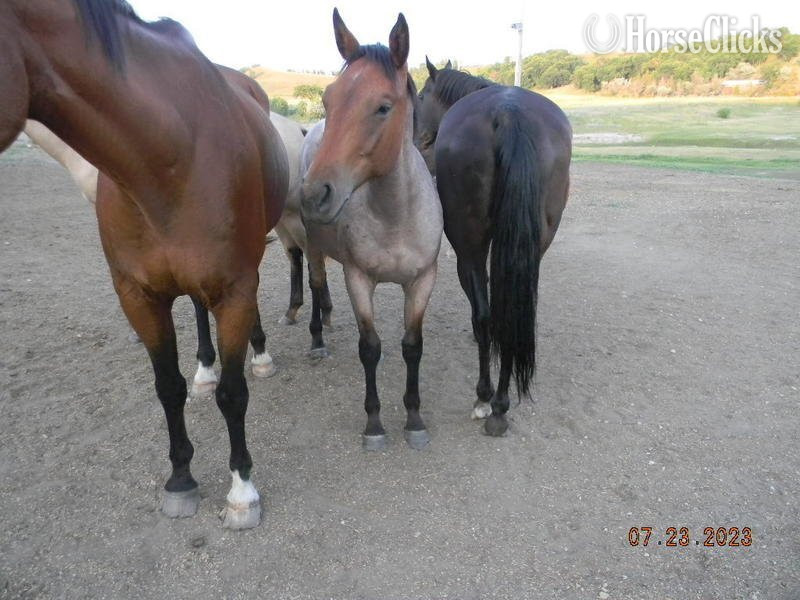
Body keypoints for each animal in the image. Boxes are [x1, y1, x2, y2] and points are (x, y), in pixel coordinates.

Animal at [0, 0, 289, 528]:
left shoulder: (234, 287)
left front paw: (242, 490)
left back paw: (257, 354)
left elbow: (234, 394)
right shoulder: (138, 295)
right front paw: (181, 479)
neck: (167, 158)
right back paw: (205, 367)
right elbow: (168, 387)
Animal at [300, 10, 442, 450]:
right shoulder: (358, 279)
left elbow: (412, 346)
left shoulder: (421, 281)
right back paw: (317, 338)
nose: (314, 194)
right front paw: (375, 423)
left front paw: (414, 419)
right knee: (315, 283)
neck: (395, 216)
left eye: (382, 107)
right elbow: (370, 348)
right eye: (328, 99)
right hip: (311, 244)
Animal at [415, 60, 572, 436]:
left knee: (487, 314)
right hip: (535, 245)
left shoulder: (468, 253)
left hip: (468, 246)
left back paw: (487, 399)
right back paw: (501, 404)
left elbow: (480, 307)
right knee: (509, 313)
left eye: (422, 95)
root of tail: (508, 111)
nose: (417, 138)